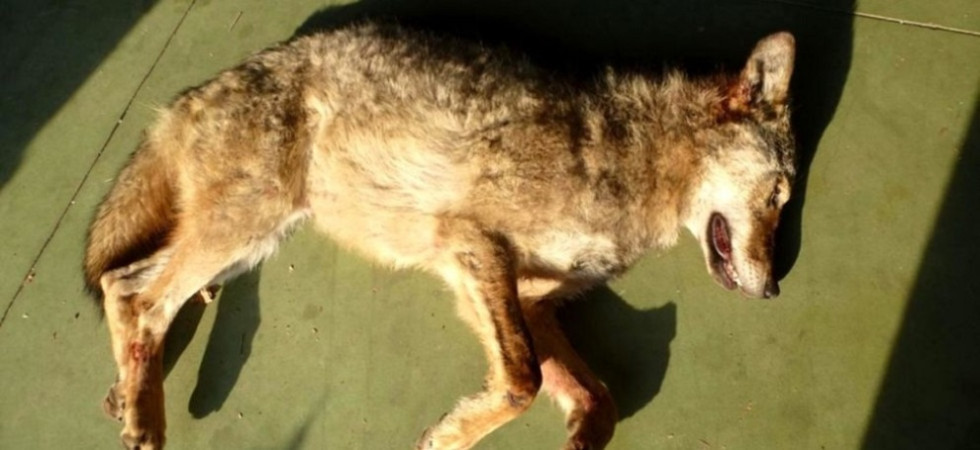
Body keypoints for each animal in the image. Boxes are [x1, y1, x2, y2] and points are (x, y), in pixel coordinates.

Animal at [84, 21, 795, 450]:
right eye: (780, 197)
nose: (773, 291)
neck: (638, 159)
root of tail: (189, 96)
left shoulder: (527, 299)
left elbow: (597, 396)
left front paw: (580, 432)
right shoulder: (474, 247)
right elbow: (521, 382)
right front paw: (452, 437)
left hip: (254, 241)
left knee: (131, 285)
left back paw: (127, 394)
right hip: (250, 224)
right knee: (137, 295)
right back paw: (143, 416)